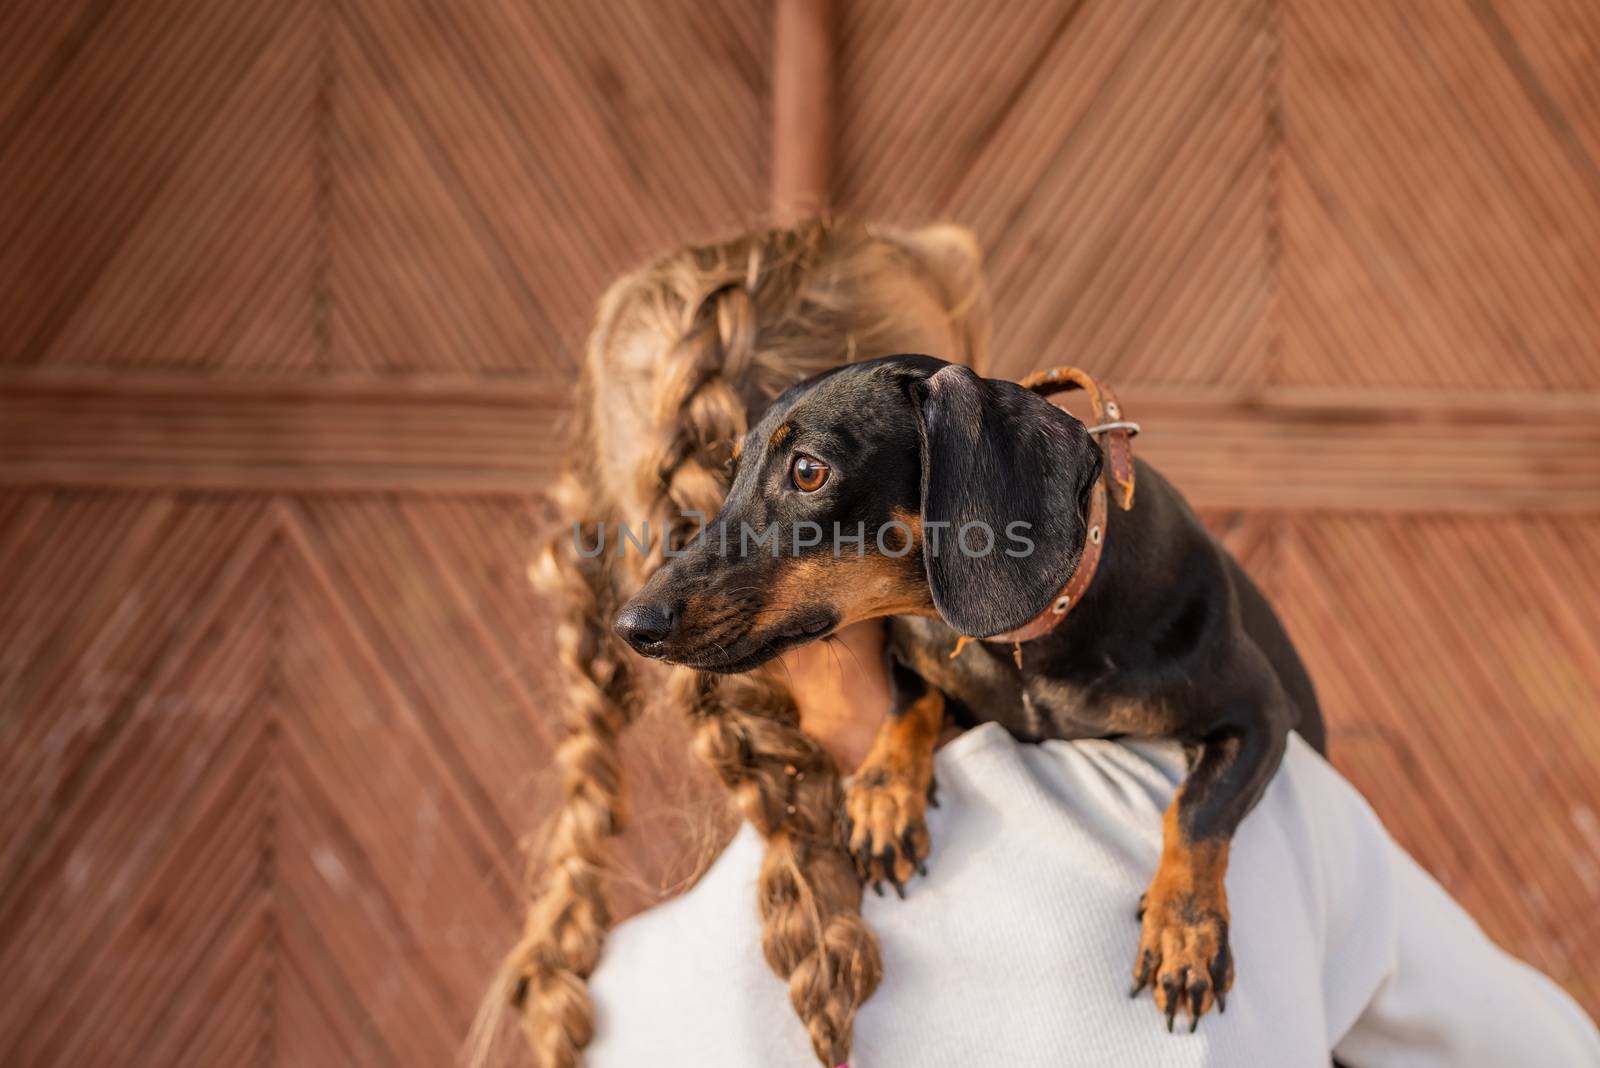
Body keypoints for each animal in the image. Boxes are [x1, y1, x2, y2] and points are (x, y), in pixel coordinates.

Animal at [611, 356, 1324, 1036]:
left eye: (808, 471)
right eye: (729, 473)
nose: (631, 626)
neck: (1030, 641)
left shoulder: (1260, 713)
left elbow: (1196, 812)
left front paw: (1186, 932)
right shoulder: (912, 654)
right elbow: (910, 704)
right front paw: (884, 799)